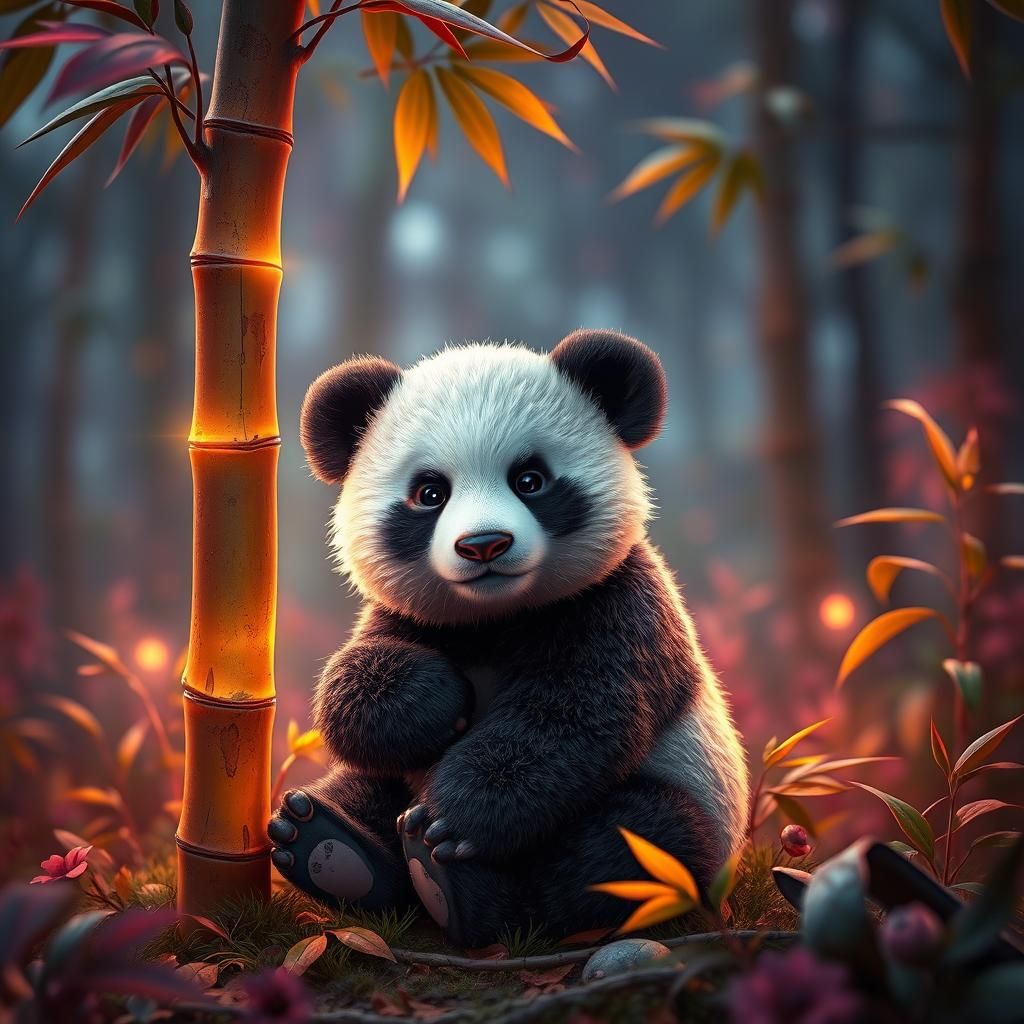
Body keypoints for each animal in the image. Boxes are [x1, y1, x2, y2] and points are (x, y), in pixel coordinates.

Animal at [268, 330, 749, 947]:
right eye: (430, 493)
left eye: (530, 481)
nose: (483, 545)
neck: (498, 616)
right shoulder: (411, 617)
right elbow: (349, 687)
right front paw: (437, 703)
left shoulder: (619, 603)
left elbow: (576, 714)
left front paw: (455, 816)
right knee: (360, 788)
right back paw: (329, 846)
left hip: (698, 806)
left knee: (635, 845)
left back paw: (456, 884)